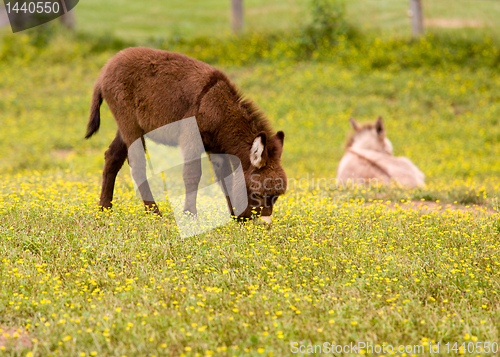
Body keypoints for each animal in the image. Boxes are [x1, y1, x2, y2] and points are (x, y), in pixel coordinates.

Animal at [85, 46, 288, 221]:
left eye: (276, 197)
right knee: (137, 165)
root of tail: (106, 68)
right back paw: (154, 213)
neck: (217, 107)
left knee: (112, 157)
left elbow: (224, 176)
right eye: (258, 194)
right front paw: (190, 215)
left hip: (127, 126)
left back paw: (104, 209)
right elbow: (192, 175)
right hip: (129, 122)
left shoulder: (216, 147)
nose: (264, 224)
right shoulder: (191, 138)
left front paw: (232, 214)